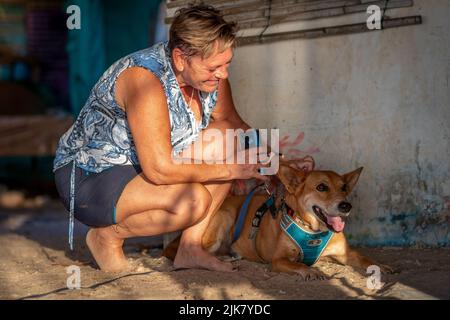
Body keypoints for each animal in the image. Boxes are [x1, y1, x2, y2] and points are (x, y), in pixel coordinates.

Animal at [163, 164, 392, 278]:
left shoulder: (346, 254)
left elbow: (364, 258)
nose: (346, 206)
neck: (313, 230)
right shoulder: (278, 260)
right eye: (321, 187)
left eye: (344, 187)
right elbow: (297, 264)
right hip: (223, 218)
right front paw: (310, 271)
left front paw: (381, 266)